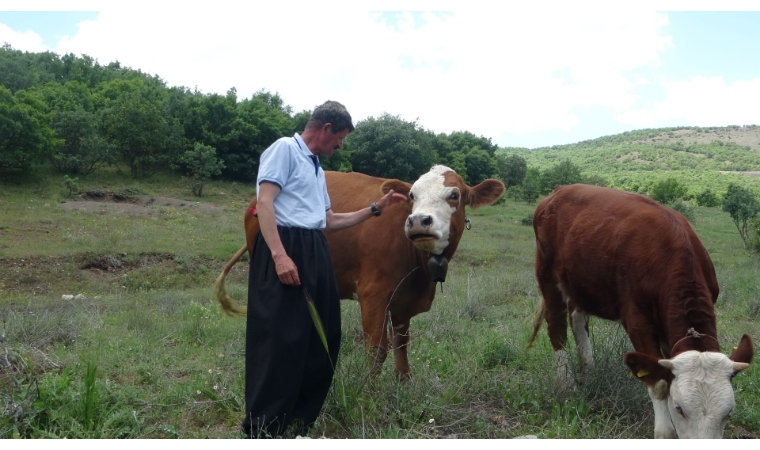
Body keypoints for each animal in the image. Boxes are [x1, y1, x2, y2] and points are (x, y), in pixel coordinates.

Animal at [214, 165, 504, 376]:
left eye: (454, 195)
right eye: (412, 196)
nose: (417, 221)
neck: (420, 271)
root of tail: (257, 198)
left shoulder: (404, 301)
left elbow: (401, 346)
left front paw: (403, 387)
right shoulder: (373, 294)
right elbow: (377, 350)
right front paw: (369, 398)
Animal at [528, 184, 756, 440]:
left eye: (729, 412)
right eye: (679, 408)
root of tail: (560, 190)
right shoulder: (637, 322)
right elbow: (659, 382)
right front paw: (664, 431)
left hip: (581, 283)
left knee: (577, 317)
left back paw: (589, 369)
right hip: (547, 274)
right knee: (556, 324)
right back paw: (566, 383)